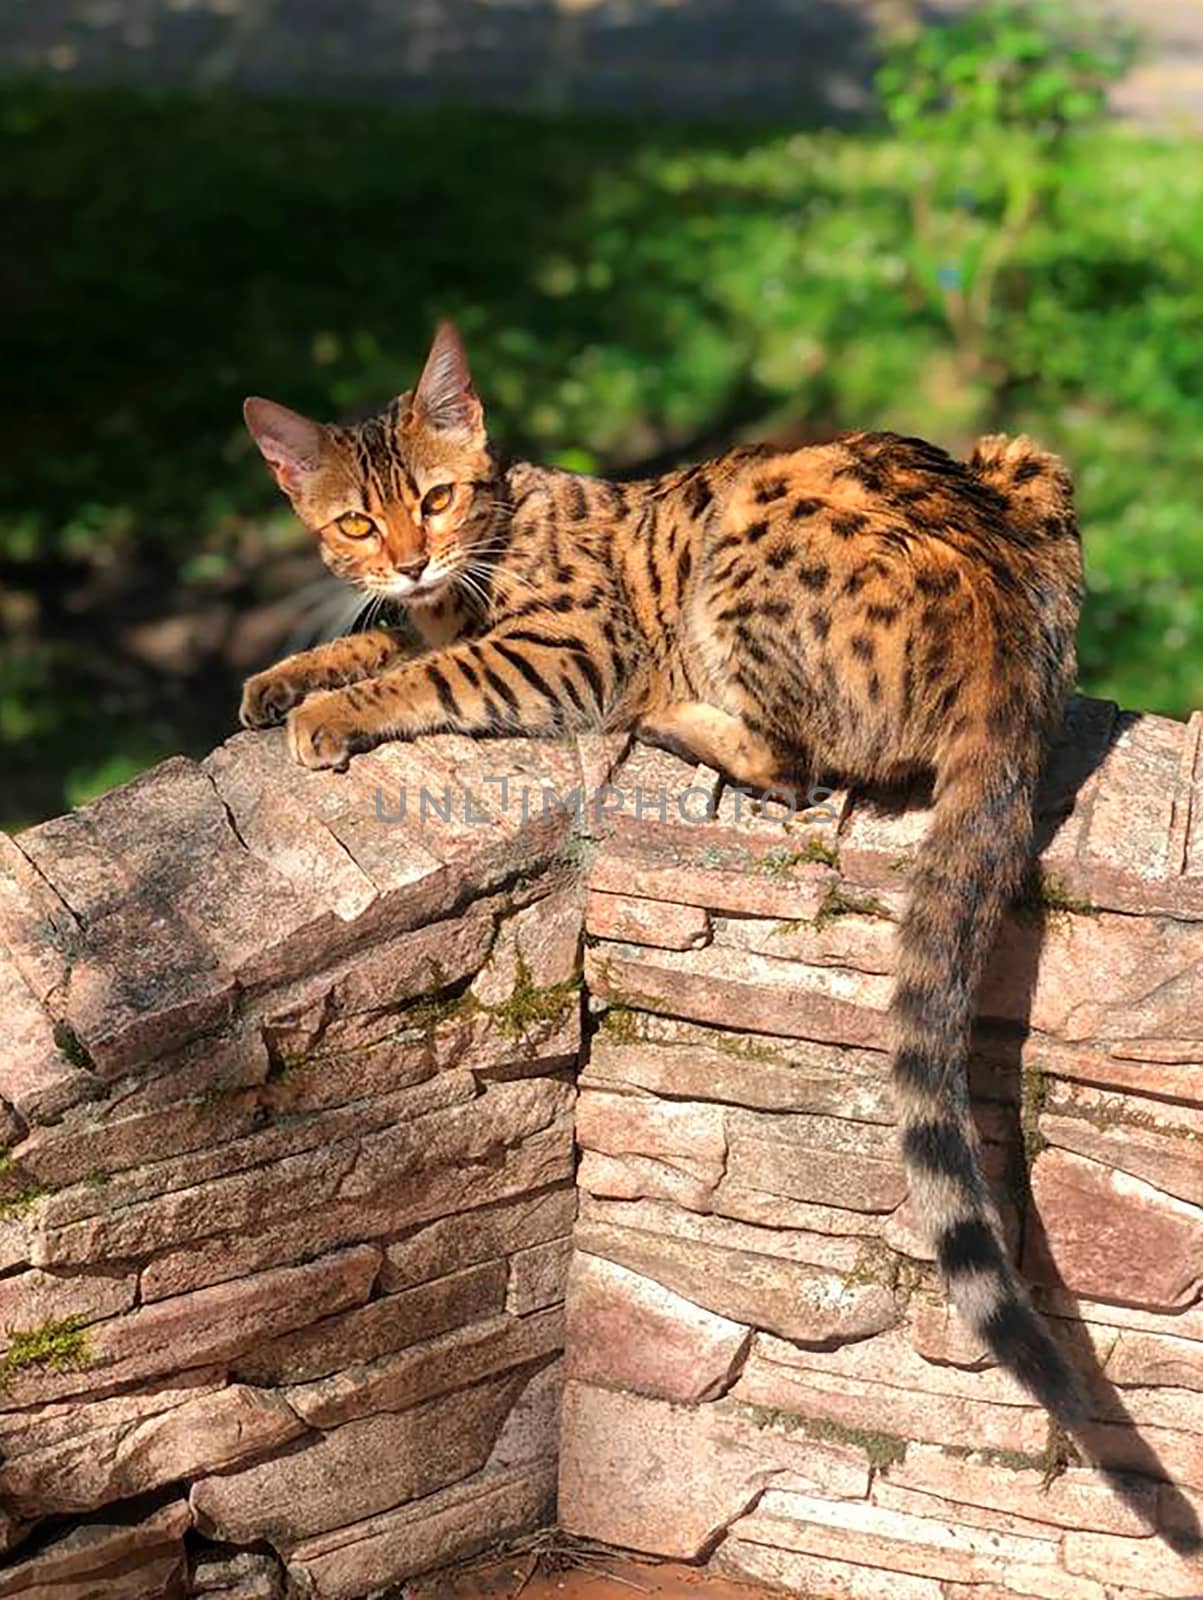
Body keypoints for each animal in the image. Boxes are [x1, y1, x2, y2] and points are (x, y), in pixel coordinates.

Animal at [244, 318, 1087, 1420]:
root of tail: (1006, 617)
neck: (494, 531)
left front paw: (331, 709)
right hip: (1022, 457)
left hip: (747, 527)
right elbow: (385, 637)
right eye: (354, 521)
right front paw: (284, 676)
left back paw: (673, 710)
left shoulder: (566, 646)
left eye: (435, 498)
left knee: (794, 763)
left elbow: (428, 669)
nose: (412, 558)